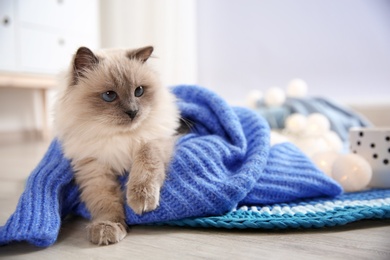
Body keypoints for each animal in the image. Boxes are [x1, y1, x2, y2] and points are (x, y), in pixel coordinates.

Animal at [54, 45, 181, 246]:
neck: (118, 137)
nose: (133, 112)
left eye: (139, 91)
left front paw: (141, 199)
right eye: (109, 96)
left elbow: (145, 166)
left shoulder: (154, 141)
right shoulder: (95, 170)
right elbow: (106, 203)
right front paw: (107, 228)